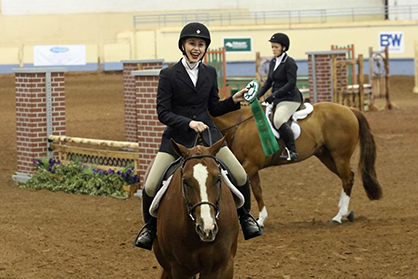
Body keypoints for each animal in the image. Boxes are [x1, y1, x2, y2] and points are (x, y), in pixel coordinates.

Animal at [212, 101, 382, 229]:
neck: (239, 125)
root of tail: (349, 109)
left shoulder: (250, 165)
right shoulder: (249, 168)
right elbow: (257, 191)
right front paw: (260, 221)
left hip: (340, 156)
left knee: (347, 178)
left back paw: (339, 216)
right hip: (327, 156)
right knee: (346, 177)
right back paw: (344, 212)